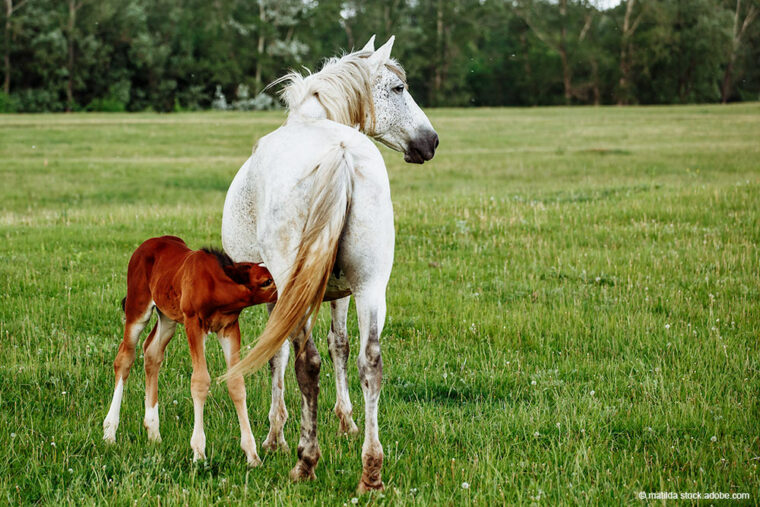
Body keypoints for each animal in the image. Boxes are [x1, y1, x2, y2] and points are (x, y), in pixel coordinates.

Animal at [102, 236, 278, 466]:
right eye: (266, 281)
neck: (216, 286)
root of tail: (147, 243)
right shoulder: (193, 323)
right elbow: (200, 381)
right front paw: (199, 452)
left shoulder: (229, 327)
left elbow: (236, 382)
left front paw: (252, 454)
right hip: (137, 308)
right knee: (125, 357)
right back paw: (109, 433)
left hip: (168, 317)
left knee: (152, 352)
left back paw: (153, 432)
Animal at [220, 34, 436, 492]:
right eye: (398, 89)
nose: (431, 141)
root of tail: (339, 153)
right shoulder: (341, 291)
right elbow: (342, 346)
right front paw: (348, 423)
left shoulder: (280, 291)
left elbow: (280, 355)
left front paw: (275, 437)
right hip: (371, 286)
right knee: (371, 362)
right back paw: (370, 471)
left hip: (296, 283)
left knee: (307, 362)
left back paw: (306, 461)